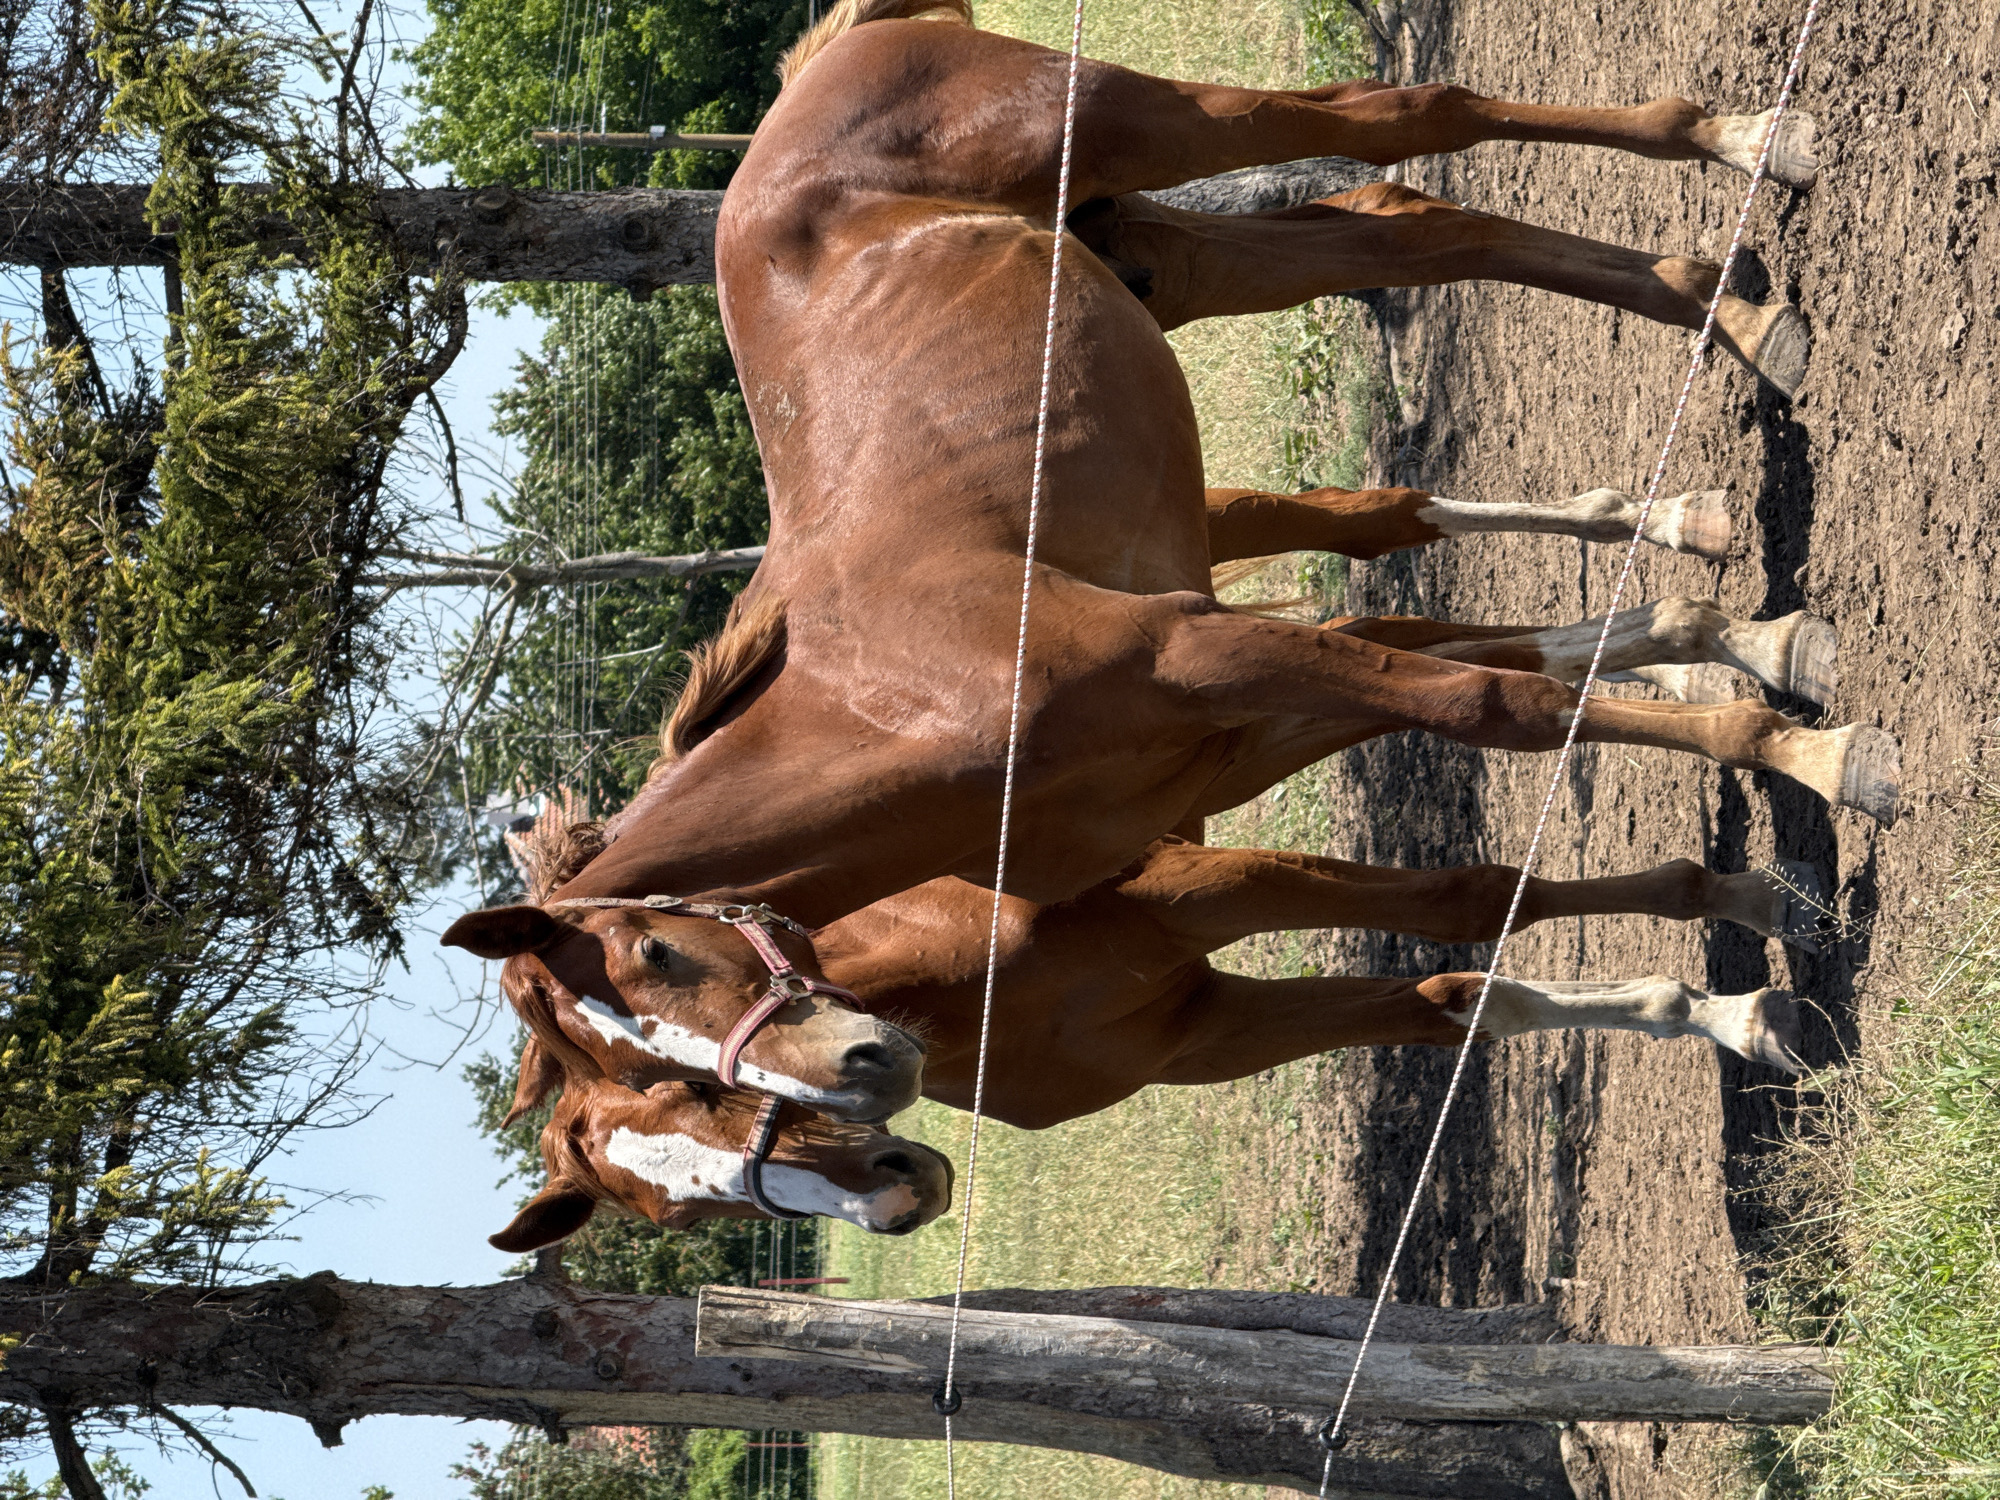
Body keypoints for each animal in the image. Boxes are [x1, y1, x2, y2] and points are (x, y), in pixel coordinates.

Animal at [445, 1, 1892, 1123]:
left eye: (659, 956)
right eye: (651, 1078)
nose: (860, 1070)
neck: (903, 705)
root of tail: (826, 61)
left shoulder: (1206, 653)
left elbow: (1505, 704)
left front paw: (1816, 757)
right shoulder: (1223, 729)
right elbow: (1482, 826)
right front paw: (1747, 865)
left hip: (1154, 121)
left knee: (1403, 113)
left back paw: (1749, 148)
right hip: (1173, 249)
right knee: (1412, 226)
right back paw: (1733, 312)